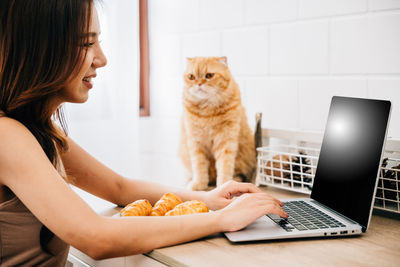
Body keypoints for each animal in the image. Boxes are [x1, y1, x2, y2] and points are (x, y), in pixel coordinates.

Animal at [180, 57, 255, 191]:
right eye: (191, 77)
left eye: (209, 76)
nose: (199, 84)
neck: (207, 112)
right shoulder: (196, 143)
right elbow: (199, 167)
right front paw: (199, 183)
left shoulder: (226, 142)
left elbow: (224, 166)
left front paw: (224, 184)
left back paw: (235, 180)